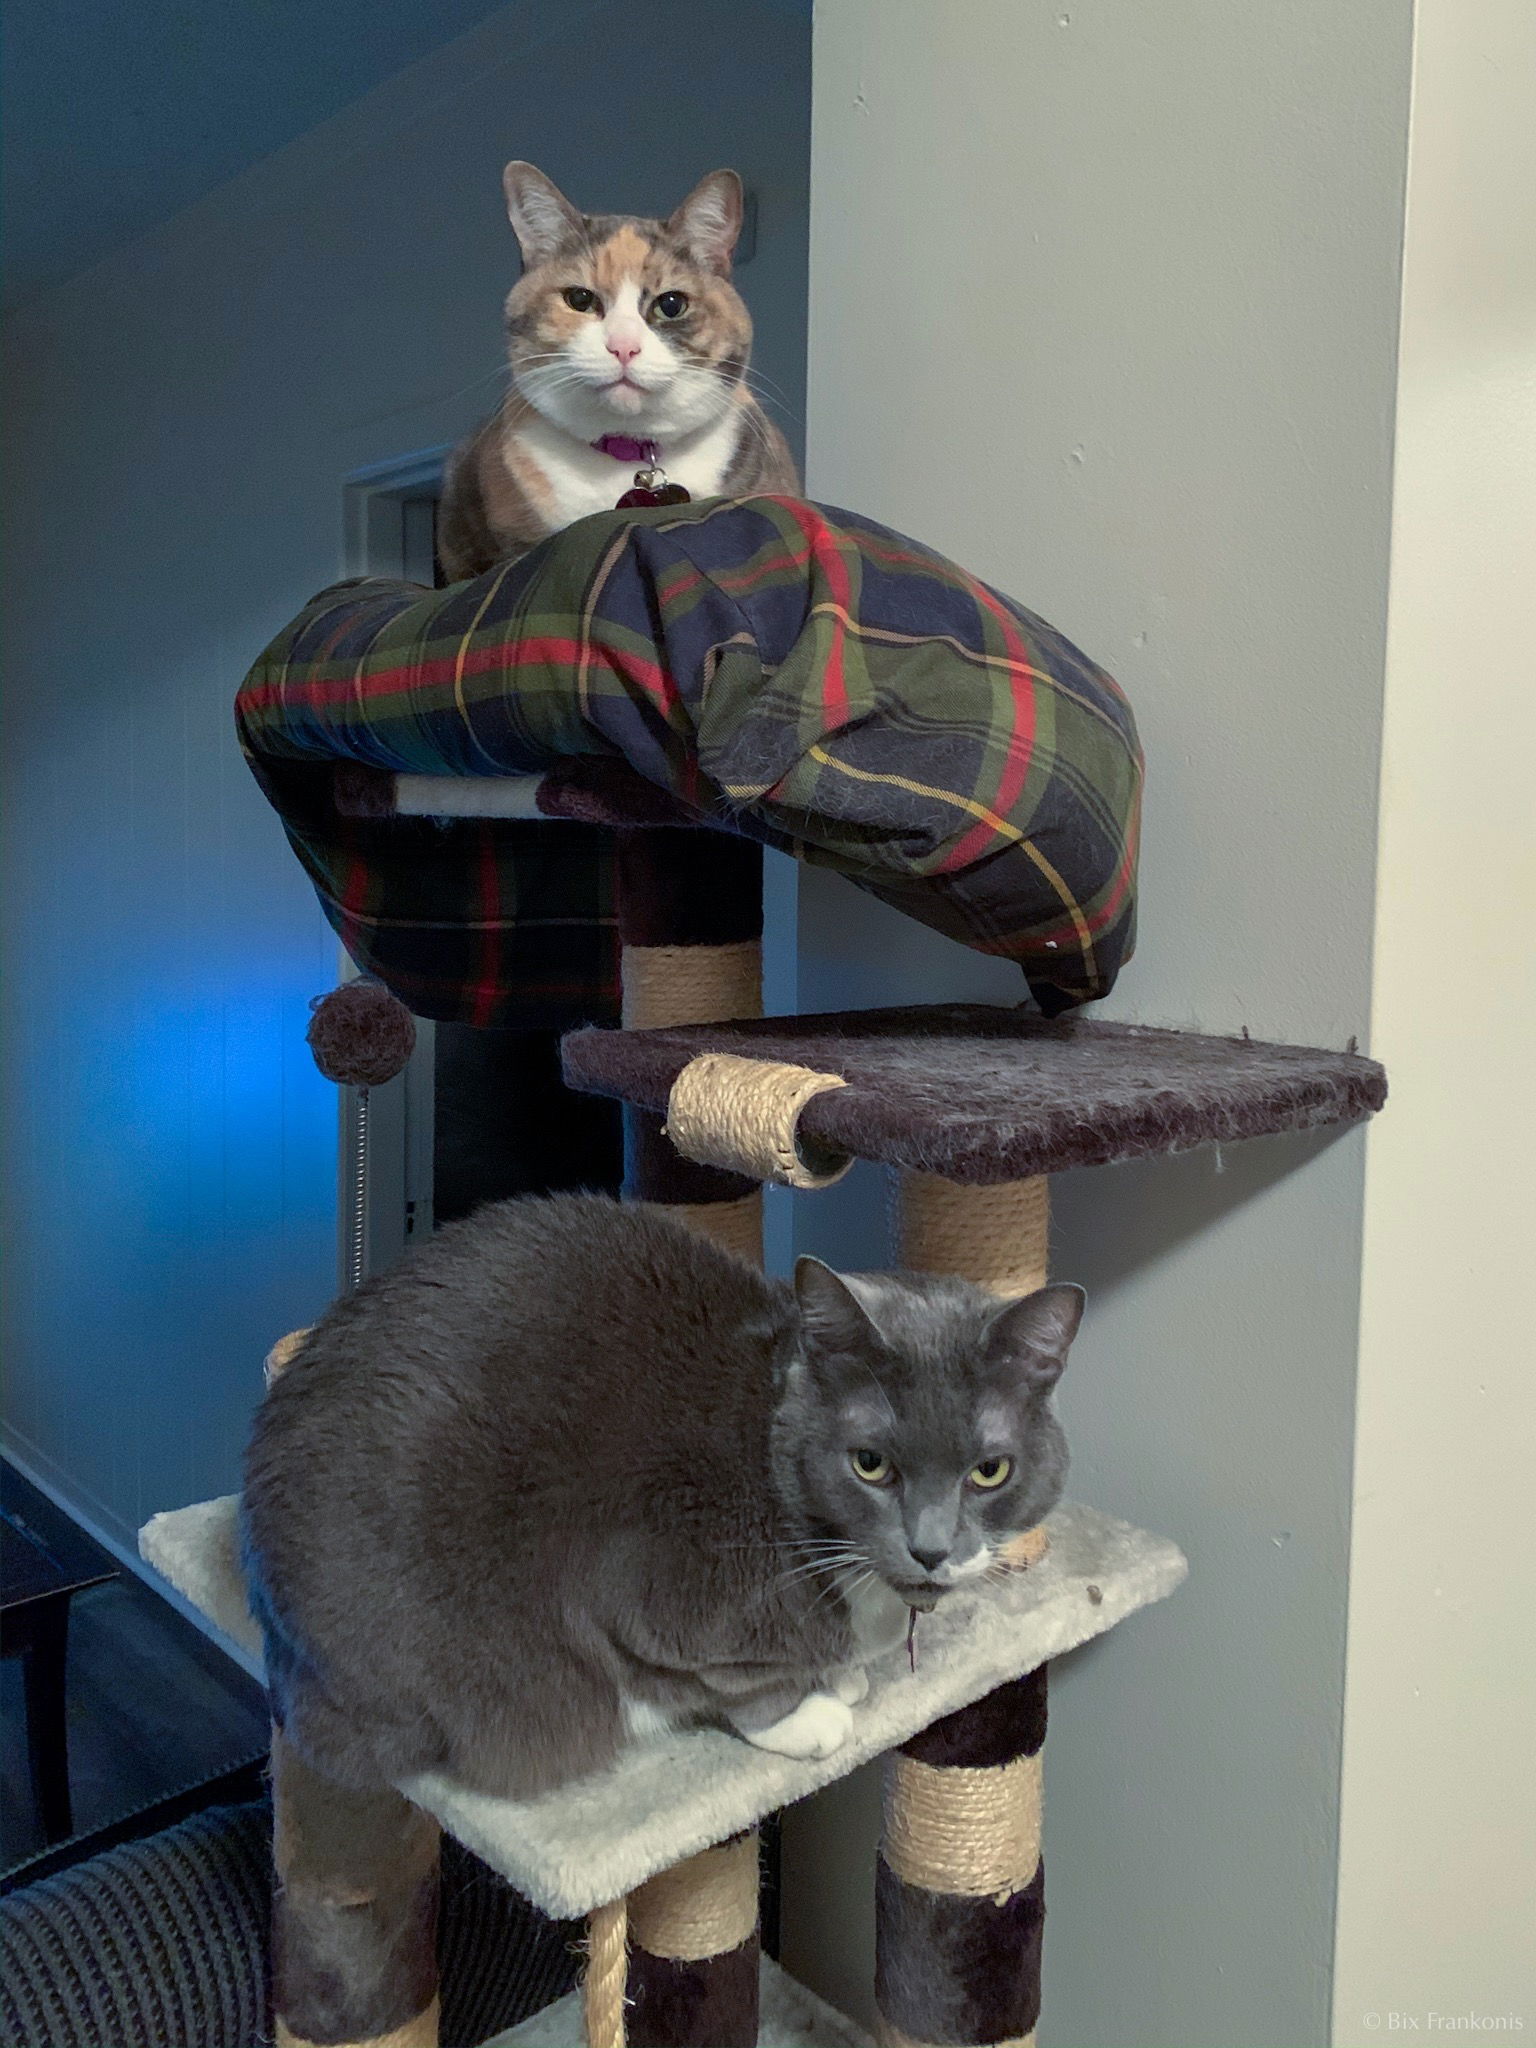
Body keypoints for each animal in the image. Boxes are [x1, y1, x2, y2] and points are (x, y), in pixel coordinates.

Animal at [243, 1196, 1081, 1802]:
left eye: (989, 1472)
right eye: (870, 1464)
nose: (931, 1550)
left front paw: (838, 1674)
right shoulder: (655, 1589)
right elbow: (730, 1682)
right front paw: (806, 1712)